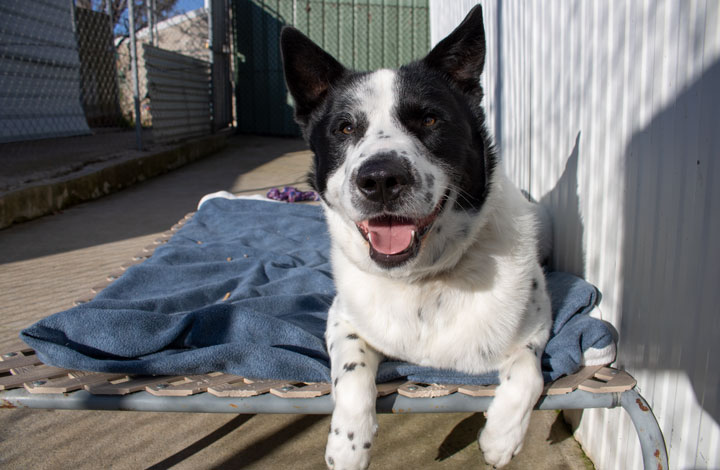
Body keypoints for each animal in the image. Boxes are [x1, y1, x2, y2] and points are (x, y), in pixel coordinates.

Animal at [282, 5, 552, 468]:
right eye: (345, 128)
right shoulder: (342, 319)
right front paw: (348, 444)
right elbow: (352, 374)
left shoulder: (538, 324)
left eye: (428, 119)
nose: (380, 179)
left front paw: (500, 437)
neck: (421, 281)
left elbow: (526, 371)